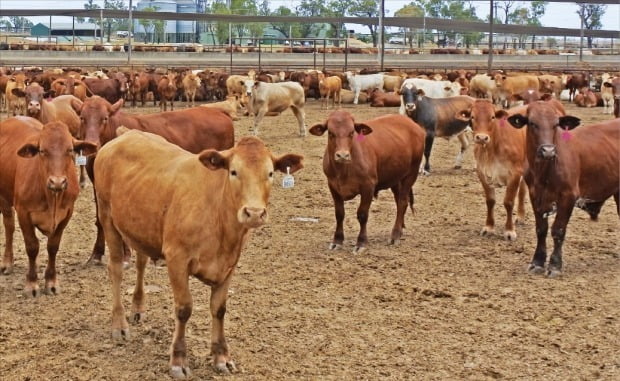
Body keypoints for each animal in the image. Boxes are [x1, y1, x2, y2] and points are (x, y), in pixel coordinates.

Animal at [0, 117, 96, 296]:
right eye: (42, 151)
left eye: (70, 150)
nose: (57, 182)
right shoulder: (24, 212)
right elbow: (32, 246)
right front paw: (31, 283)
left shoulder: (67, 213)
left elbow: (52, 246)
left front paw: (51, 282)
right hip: (3, 197)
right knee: (9, 226)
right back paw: (7, 263)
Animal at [71, 95, 236, 264]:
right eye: (82, 117)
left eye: (104, 118)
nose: (92, 144)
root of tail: (218, 113)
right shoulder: (98, 186)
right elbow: (100, 219)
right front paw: (96, 254)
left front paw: (126, 255)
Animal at [94, 130, 302, 378]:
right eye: (233, 171)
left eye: (270, 173)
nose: (253, 213)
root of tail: (126, 133)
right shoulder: (177, 259)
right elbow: (184, 309)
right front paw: (178, 360)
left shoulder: (230, 264)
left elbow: (219, 309)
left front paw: (222, 357)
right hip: (107, 218)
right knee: (115, 268)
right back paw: (119, 324)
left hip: (140, 227)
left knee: (141, 262)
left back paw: (137, 309)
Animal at [310, 110, 426, 252]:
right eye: (330, 133)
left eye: (352, 132)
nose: (342, 155)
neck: (344, 171)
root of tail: (413, 124)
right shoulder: (333, 186)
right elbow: (339, 214)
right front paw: (337, 240)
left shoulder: (368, 187)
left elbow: (362, 214)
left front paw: (361, 242)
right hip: (395, 178)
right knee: (399, 202)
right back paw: (400, 228)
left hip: (411, 174)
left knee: (403, 202)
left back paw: (395, 235)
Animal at [506, 102, 616, 278]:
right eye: (532, 123)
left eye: (556, 124)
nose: (548, 150)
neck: (544, 171)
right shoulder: (535, 195)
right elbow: (541, 229)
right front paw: (537, 262)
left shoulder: (568, 196)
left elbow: (558, 230)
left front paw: (555, 265)